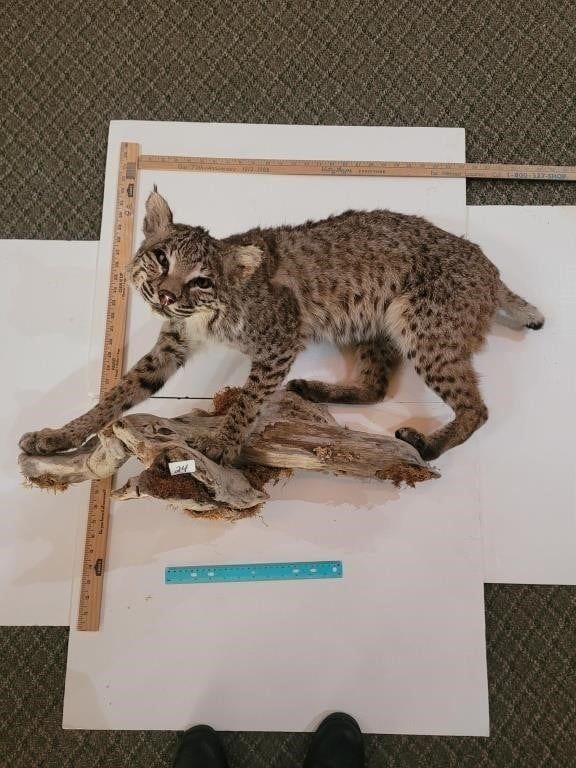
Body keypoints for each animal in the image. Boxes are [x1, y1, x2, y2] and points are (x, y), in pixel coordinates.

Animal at [19, 189, 544, 464]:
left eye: (201, 280)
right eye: (161, 257)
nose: (165, 296)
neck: (204, 314)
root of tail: (489, 267)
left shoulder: (281, 339)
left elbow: (248, 399)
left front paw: (222, 445)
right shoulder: (172, 344)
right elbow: (118, 394)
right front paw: (61, 436)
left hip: (421, 327)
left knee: (478, 408)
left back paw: (431, 446)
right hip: (373, 324)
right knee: (376, 385)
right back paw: (317, 390)